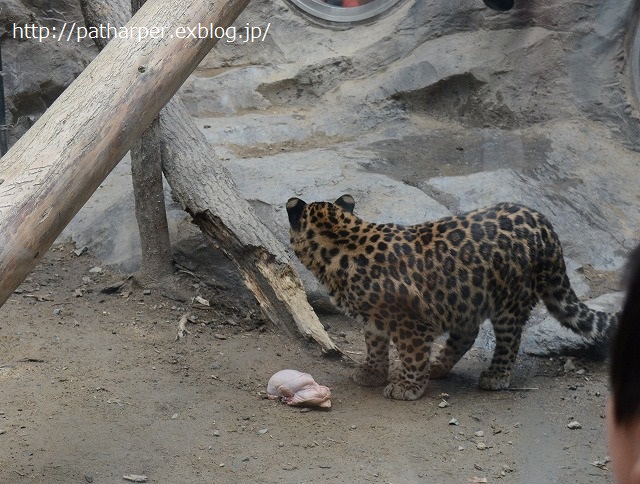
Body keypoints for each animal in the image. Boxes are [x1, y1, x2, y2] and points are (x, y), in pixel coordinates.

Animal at [288, 193, 616, 400]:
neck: (342, 239)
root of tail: (544, 224)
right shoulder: (374, 318)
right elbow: (375, 344)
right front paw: (372, 372)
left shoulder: (411, 324)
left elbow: (410, 353)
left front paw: (407, 386)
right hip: (465, 296)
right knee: (467, 333)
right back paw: (438, 366)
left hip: (509, 301)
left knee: (508, 340)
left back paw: (495, 376)